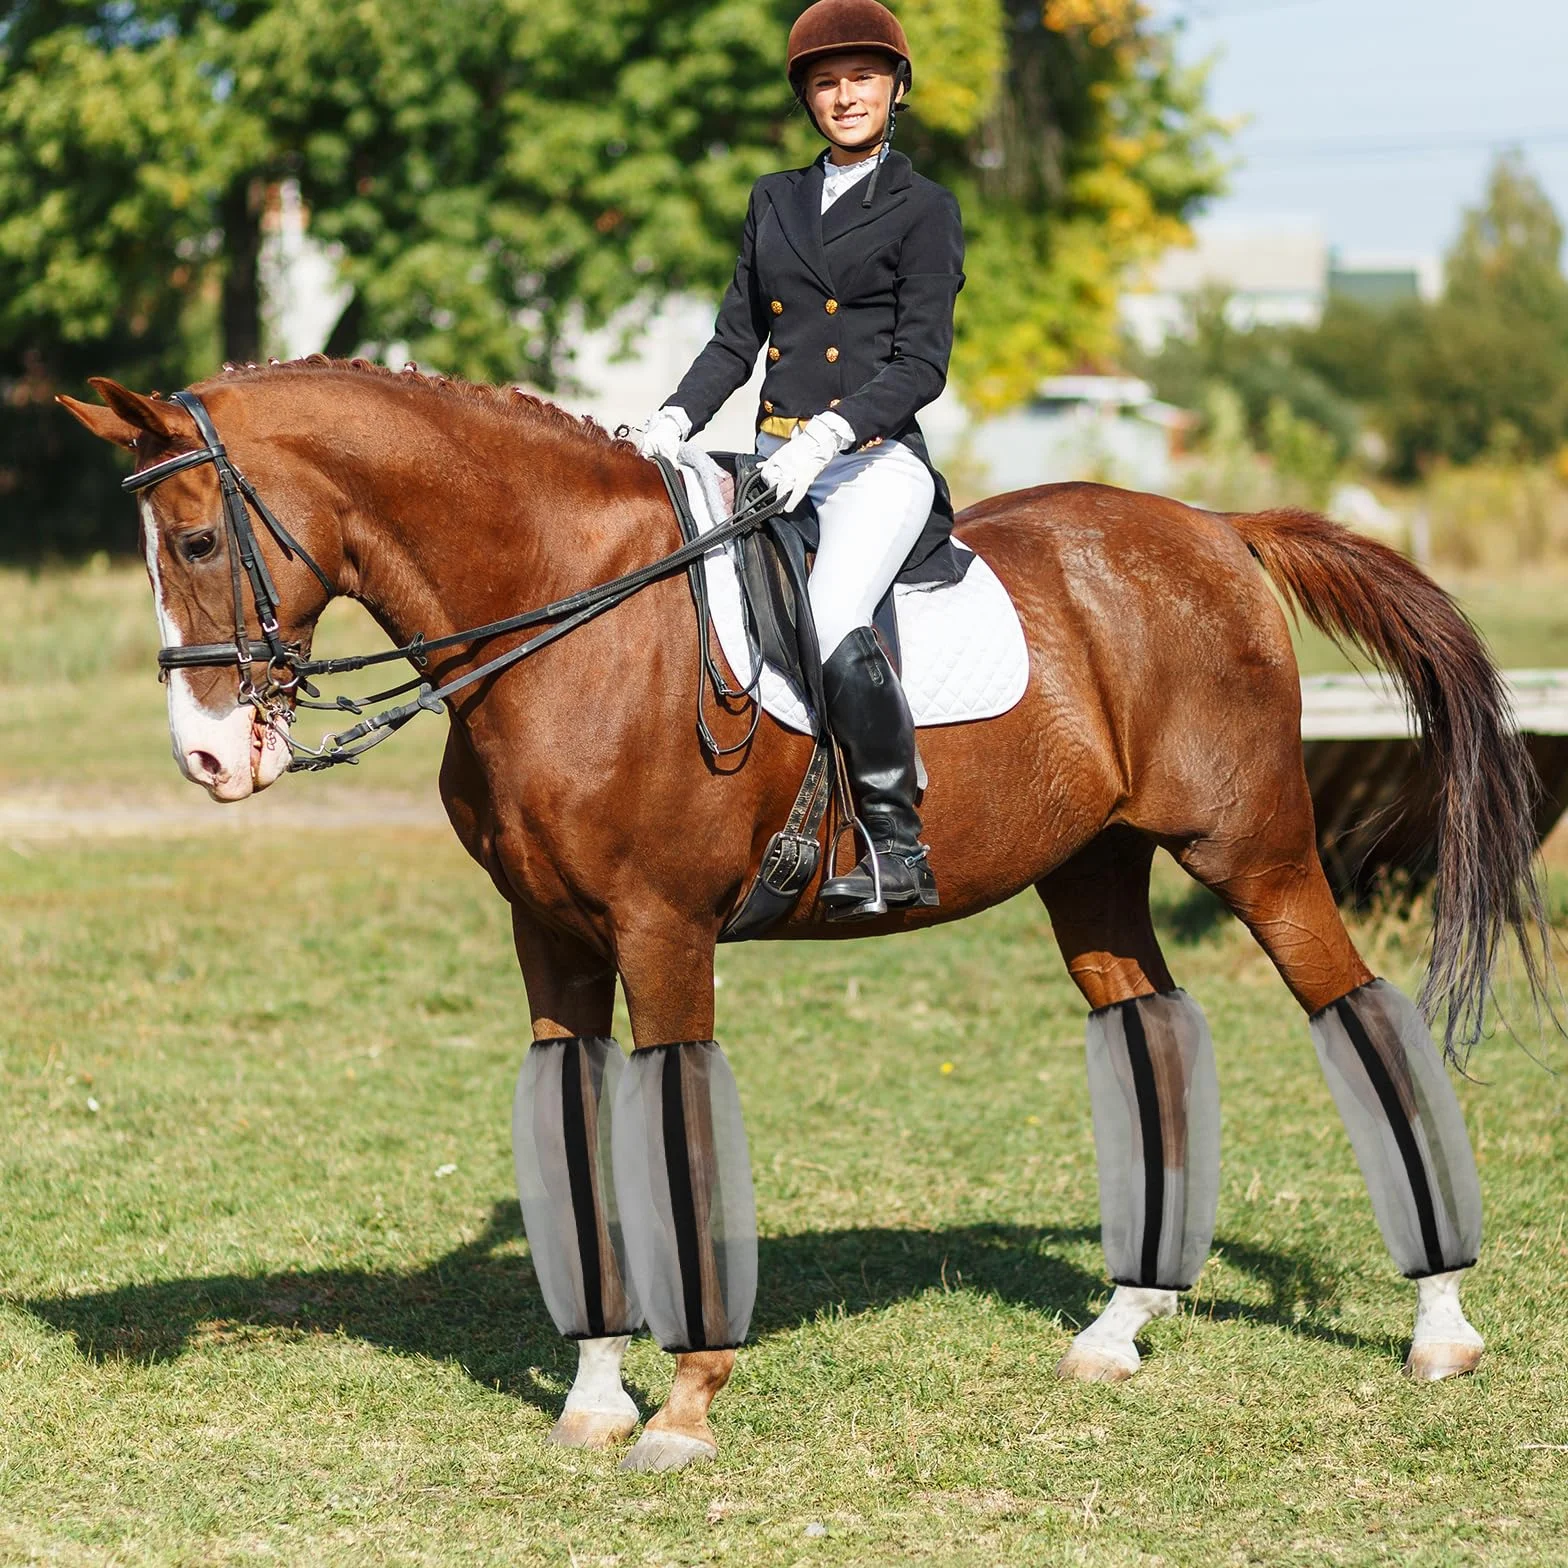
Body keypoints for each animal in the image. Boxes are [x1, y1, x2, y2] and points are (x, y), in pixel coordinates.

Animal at [61, 358, 1552, 1473]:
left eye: (197, 538)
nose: (211, 760)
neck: (564, 622)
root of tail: (1216, 530)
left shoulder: (661, 931)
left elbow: (671, 1125)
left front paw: (684, 1404)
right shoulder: (552, 939)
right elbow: (576, 1131)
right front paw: (593, 1401)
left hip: (1256, 854)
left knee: (1358, 1016)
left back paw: (1438, 1327)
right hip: (1093, 871)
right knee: (1150, 1029)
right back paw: (1118, 1329)